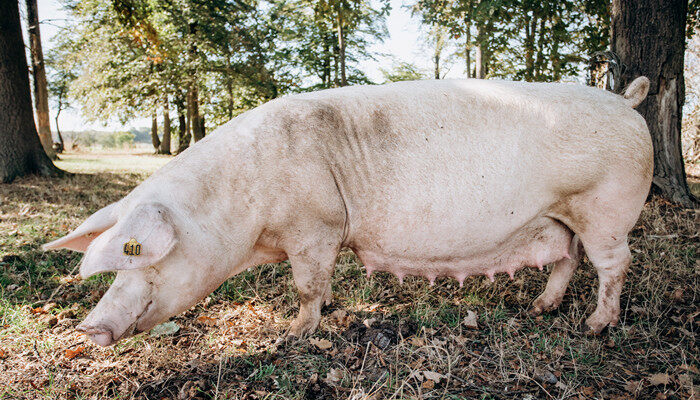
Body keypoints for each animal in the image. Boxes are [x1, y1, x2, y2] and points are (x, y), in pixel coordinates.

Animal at [45, 76, 656, 346]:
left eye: (140, 257)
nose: (88, 328)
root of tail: (626, 101)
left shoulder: (314, 227)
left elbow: (306, 285)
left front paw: (292, 335)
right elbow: (319, 285)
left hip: (605, 206)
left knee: (613, 264)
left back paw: (595, 326)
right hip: (560, 215)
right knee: (567, 258)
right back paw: (539, 310)